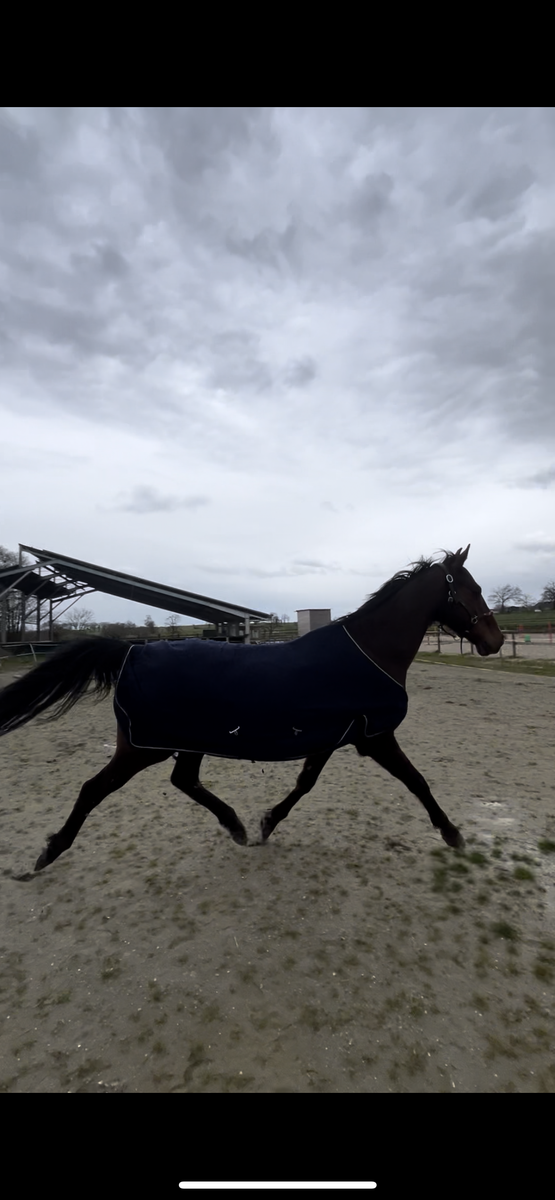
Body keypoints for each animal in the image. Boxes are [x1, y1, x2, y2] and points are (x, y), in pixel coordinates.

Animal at [0, 545, 503, 872]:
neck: (370, 652)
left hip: (184, 742)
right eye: (474, 588)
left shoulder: (334, 735)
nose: (495, 641)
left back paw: (236, 826)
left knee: (184, 781)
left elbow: (304, 784)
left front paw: (265, 824)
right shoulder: (375, 736)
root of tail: (131, 651)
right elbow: (417, 782)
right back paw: (48, 853)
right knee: (93, 789)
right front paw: (454, 835)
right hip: (144, 746)